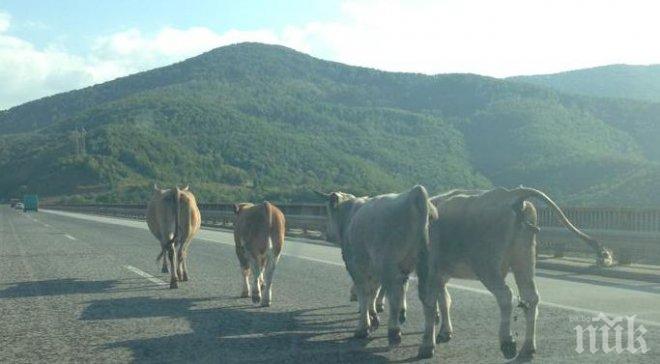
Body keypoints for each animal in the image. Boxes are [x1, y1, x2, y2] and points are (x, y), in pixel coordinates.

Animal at [318, 186, 438, 346]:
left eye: (327, 209)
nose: (327, 234)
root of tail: (415, 192)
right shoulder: (373, 268)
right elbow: (373, 291)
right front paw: (373, 316)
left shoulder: (355, 264)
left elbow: (365, 292)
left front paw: (364, 326)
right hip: (426, 266)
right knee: (428, 297)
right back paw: (428, 341)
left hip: (388, 264)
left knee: (395, 295)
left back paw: (394, 331)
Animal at [418, 188, 612, 358]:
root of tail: (511, 194)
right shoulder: (439, 273)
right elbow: (443, 299)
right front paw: (444, 331)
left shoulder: (430, 271)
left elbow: (429, 303)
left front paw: (428, 344)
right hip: (524, 260)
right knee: (531, 298)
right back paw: (528, 347)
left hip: (486, 265)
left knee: (506, 295)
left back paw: (507, 341)